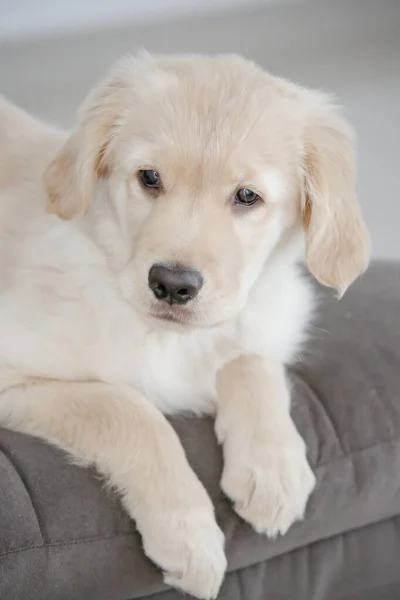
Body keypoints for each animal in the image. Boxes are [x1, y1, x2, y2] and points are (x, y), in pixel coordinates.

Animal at [0, 54, 368, 596]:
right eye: (149, 177)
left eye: (247, 196)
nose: (172, 285)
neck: (167, 337)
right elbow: (126, 407)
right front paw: (188, 532)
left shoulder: (267, 318)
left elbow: (250, 360)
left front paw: (273, 467)